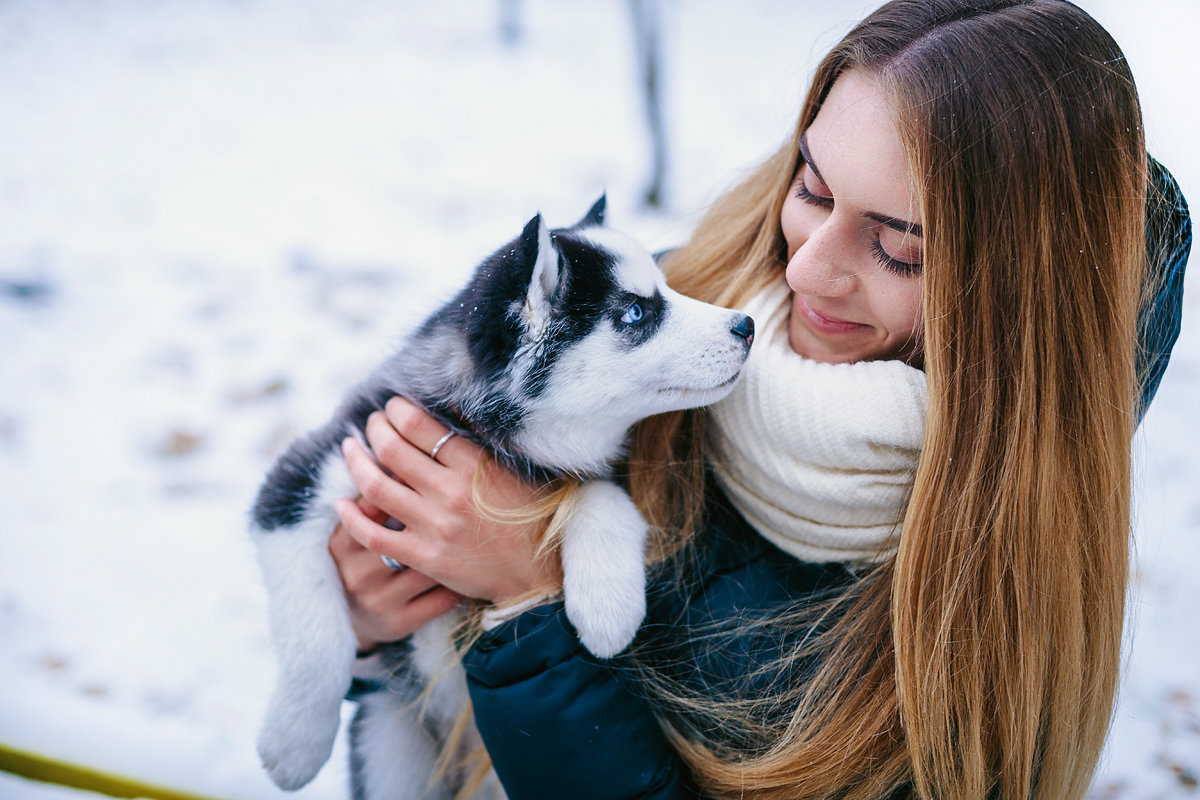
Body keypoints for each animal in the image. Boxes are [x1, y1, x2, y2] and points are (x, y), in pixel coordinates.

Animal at [249, 196, 753, 796]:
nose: (747, 325)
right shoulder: (305, 473)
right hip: (391, 741)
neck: (487, 433)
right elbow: (315, 637)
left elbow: (602, 496)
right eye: (635, 312)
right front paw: (293, 742)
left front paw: (607, 607)